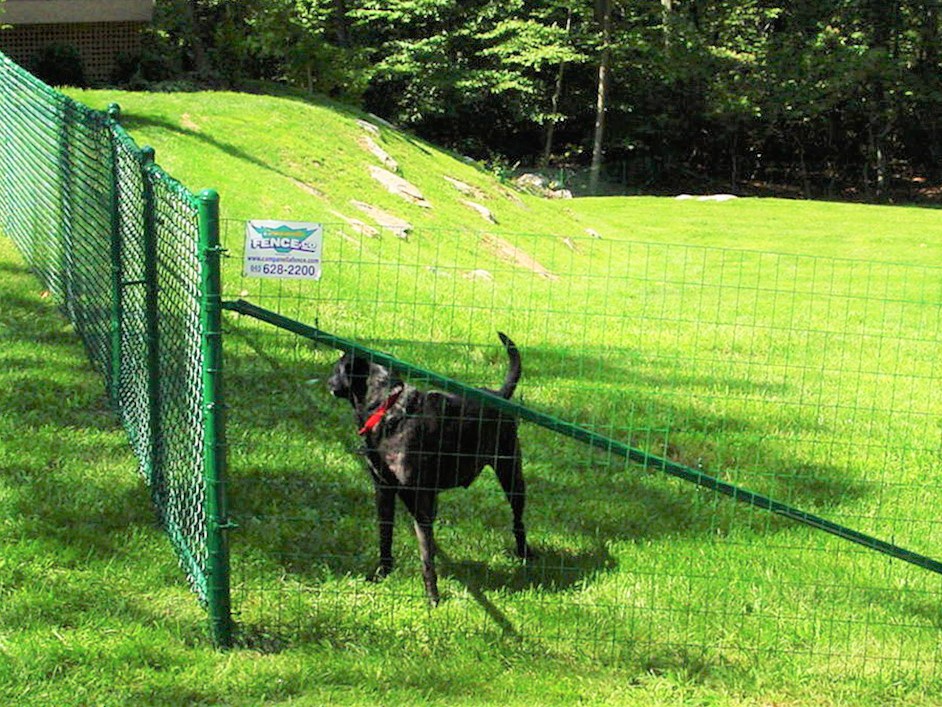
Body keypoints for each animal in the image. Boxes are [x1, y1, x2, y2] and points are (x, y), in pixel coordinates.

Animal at [328, 334, 536, 604]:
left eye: (337, 367)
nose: (329, 379)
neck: (388, 408)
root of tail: (498, 395)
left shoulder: (422, 502)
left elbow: (427, 556)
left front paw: (433, 597)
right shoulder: (383, 490)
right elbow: (385, 536)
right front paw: (383, 573)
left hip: (511, 474)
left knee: (518, 520)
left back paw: (524, 555)